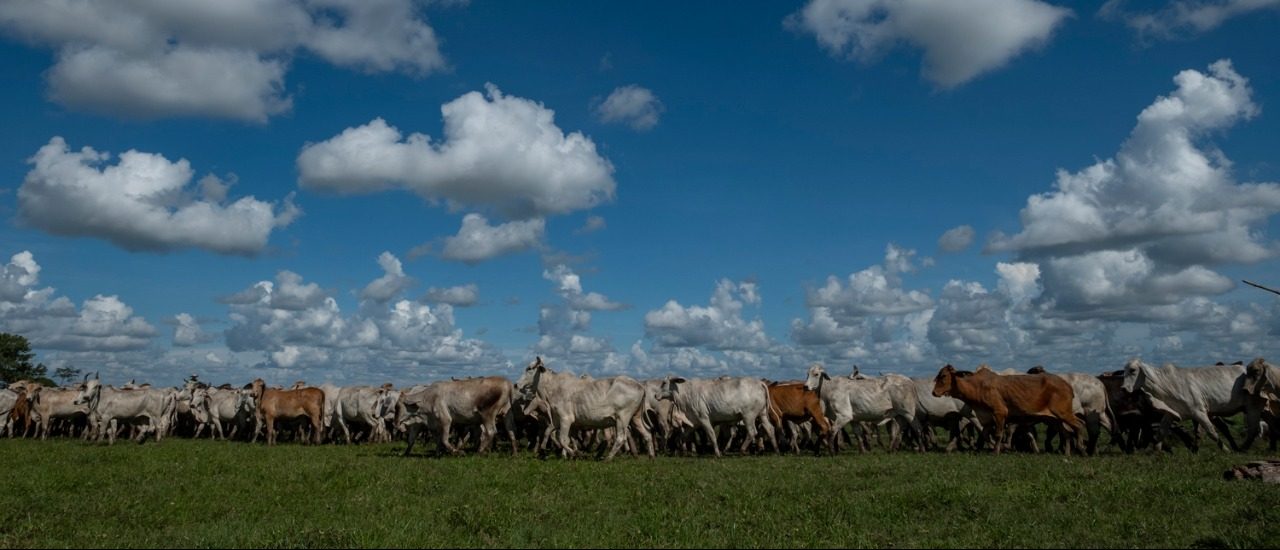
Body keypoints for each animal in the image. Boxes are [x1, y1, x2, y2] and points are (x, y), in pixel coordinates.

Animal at [936, 365, 1085, 455]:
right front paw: (986, 448)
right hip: (1055, 419)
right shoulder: (987, 418)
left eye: (943, 376)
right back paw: (1067, 453)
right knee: (1066, 433)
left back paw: (1081, 448)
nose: (934, 392)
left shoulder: (1000, 413)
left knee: (1078, 425)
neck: (977, 386)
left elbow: (998, 434)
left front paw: (996, 450)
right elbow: (984, 434)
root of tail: (1068, 386)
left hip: (1063, 413)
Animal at [1121, 358, 1259, 452]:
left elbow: (1212, 432)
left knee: (1253, 429)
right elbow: (1161, 432)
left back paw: (1242, 448)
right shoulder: (1171, 412)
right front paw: (1156, 452)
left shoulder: (1199, 412)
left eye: (1132, 370)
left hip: (1253, 407)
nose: (1123, 388)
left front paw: (1226, 450)